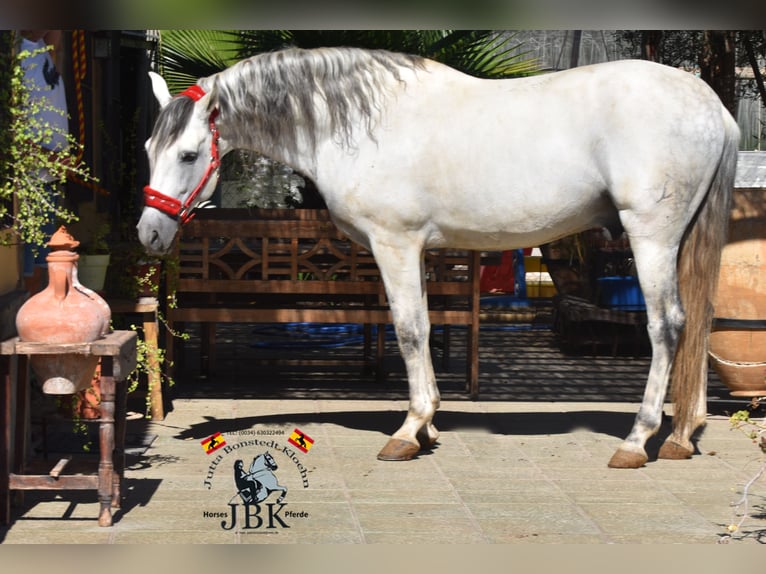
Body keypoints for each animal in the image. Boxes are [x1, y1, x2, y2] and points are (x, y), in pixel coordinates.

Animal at [136, 47, 736, 470]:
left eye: (188, 154)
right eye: (147, 149)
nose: (148, 233)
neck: (360, 125)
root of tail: (712, 105)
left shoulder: (395, 244)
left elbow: (408, 329)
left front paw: (408, 431)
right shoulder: (417, 250)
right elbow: (422, 327)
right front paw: (428, 427)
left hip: (652, 235)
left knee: (666, 326)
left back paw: (638, 440)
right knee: (697, 323)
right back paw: (683, 436)